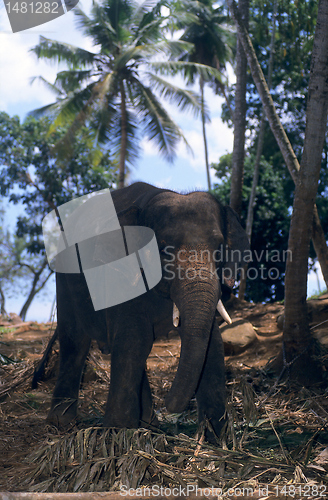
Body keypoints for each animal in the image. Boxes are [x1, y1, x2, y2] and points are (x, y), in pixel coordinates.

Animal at [44, 182, 249, 440]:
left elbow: (212, 343)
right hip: (64, 275)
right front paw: (116, 434)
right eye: (163, 249)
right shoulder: (122, 271)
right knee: (74, 339)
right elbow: (134, 338)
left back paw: (149, 425)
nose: (169, 408)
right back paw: (61, 424)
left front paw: (217, 439)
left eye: (220, 249)